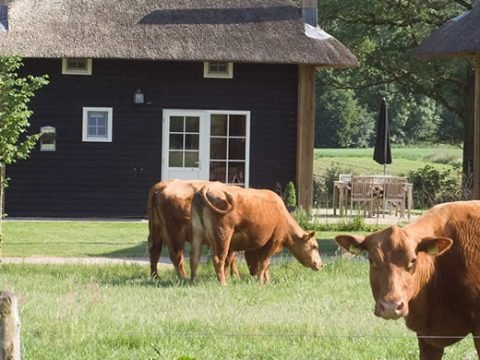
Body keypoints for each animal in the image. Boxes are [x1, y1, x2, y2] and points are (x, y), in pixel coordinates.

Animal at [190, 184, 322, 286]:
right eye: (314, 246)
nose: (320, 264)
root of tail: (206, 188)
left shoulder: (257, 245)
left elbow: (260, 264)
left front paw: (267, 281)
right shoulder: (274, 241)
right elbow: (263, 263)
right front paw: (261, 282)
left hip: (197, 233)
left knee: (195, 257)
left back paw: (192, 281)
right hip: (223, 235)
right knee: (218, 259)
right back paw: (223, 283)